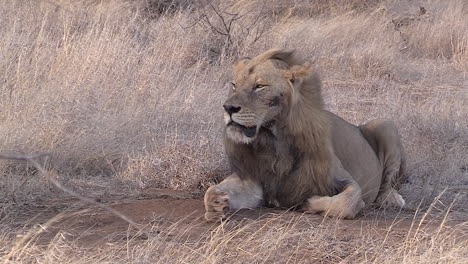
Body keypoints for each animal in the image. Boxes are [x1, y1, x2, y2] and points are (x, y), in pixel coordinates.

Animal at [204, 48, 406, 222]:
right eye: (234, 85)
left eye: (259, 86)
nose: (228, 108)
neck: (275, 141)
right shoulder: (258, 178)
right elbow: (211, 191)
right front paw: (218, 202)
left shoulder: (341, 178)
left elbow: (345, 203)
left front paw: (309, 203)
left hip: (386, 124)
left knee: (387, 185)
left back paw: (392, 200)